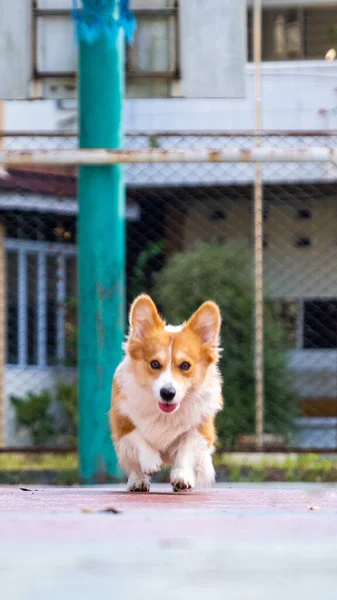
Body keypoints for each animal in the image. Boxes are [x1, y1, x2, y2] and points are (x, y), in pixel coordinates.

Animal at [109, 294, 222, 492]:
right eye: (154, 364)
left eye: (185, 365)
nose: (167, 393)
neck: (164, 415)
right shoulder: (122, 424)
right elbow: (136, 436)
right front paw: (150, 461)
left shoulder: (200, 430)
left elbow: (186, 449)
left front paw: (182, 477)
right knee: (133, 467)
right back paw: (138, 481)